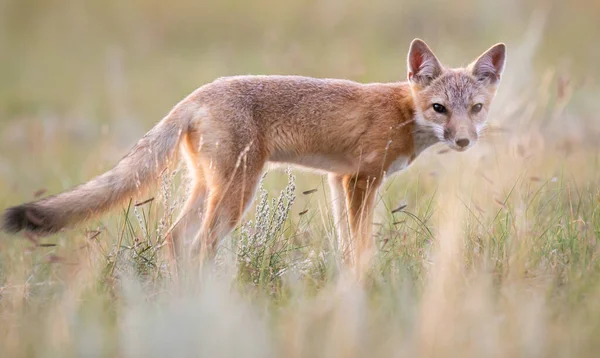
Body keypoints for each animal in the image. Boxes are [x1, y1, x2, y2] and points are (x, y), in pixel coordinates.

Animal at [1, 39, 506, 268]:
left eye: (476, 109)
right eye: (439, 108)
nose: (463, 141)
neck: (403, 111)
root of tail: (198, 94)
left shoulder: (339, 180)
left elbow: (347, 241)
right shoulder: (361, 180)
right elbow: (361, 242)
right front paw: (365, 280)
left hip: (210, 185)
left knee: (175, 239)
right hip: (238, 190)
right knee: (200, 245)